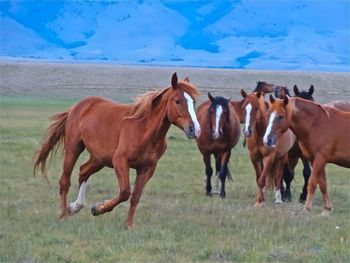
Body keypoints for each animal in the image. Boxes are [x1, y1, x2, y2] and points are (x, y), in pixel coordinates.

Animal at [34, 72, 202, 229]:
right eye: (177, 100)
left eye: (193, 102)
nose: (195, 129)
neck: (144, 130)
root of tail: (76, 108)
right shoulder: (120, 162)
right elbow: (125, 192)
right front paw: (99, 208)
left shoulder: (147, 168)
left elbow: (135, 196)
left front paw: (129, 225)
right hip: (73, 148)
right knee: (65, 180)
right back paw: (64, 214)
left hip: (99, 159)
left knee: (83, 172)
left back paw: (74, 207)